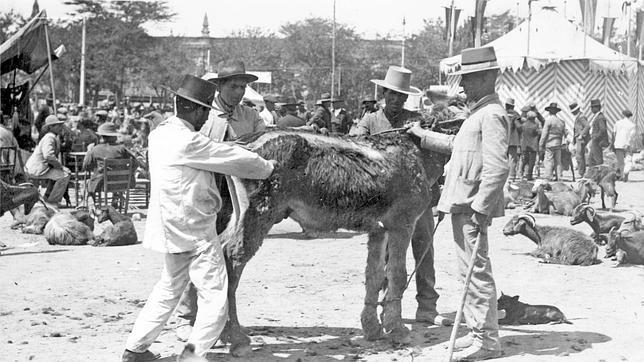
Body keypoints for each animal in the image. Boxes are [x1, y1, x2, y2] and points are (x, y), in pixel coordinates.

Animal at [211, 130, 448, 356]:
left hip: (240, 213)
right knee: (232, 259)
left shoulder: (379, 230)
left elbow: (375, 276)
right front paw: (397, 330)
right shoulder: (403, 224)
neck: (418, 149)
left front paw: (373, 329)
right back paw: (236, 339)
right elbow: (397, 276)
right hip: (259, 213)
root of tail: (242, 143)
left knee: (221, 252)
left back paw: (222, 334)